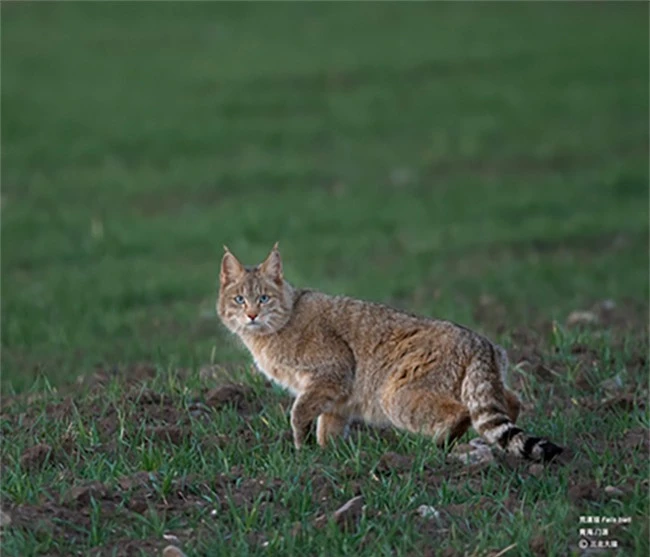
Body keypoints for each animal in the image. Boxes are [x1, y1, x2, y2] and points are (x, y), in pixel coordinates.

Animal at [218, 243, 560, 460]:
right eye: (239, 299)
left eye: (263, 298)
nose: (251, 315)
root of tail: (480, 341)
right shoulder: (337, 396)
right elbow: (328, 426)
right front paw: (329, 456)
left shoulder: (332, 372)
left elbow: (299, 412)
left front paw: (303, 450)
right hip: (483, 385)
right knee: (510, 403)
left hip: (395, 395)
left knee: (460, 412)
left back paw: (439, 445)